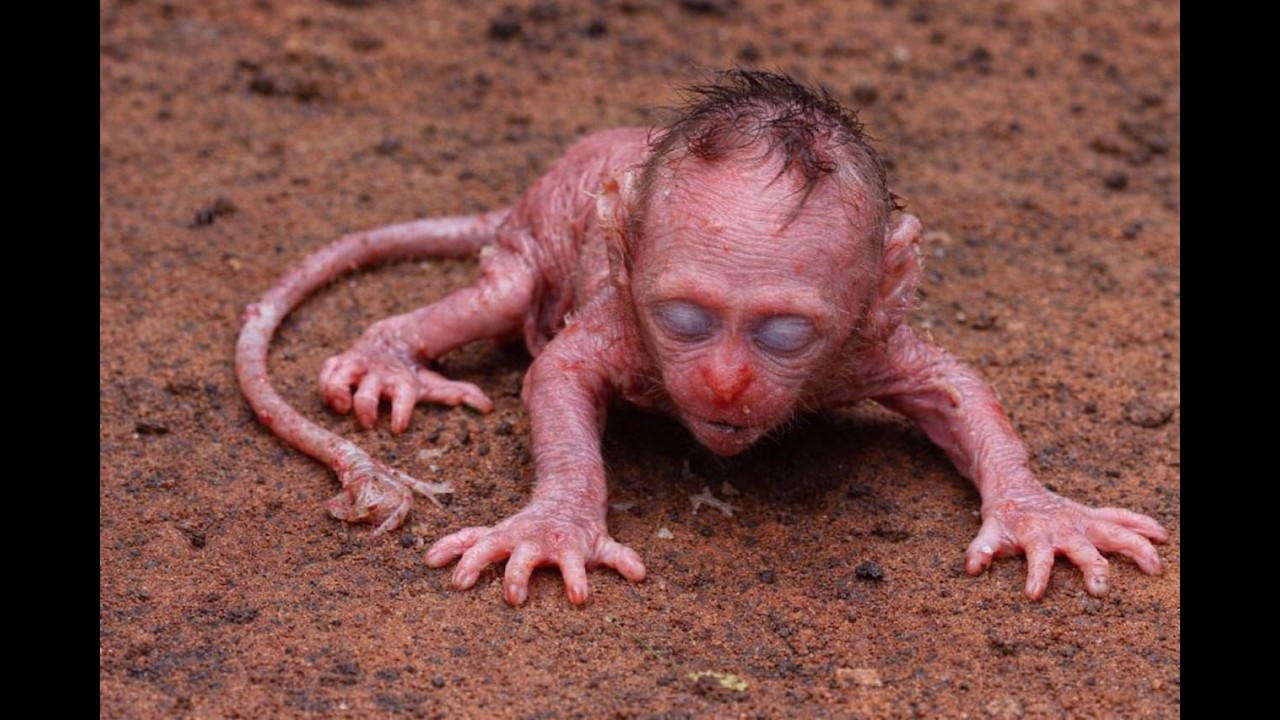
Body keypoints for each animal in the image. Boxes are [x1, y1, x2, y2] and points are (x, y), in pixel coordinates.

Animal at [235, 70, 1166, 606]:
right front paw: (552, 529)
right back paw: (388, 359)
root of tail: (523, 195)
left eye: (786, 333)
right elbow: (557, 378)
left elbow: (961, 389)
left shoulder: (866, 341)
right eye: (684, 318)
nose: (723, 383)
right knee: (502, 294)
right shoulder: (625, 327)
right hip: (532, 246)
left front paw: (1044, 516)